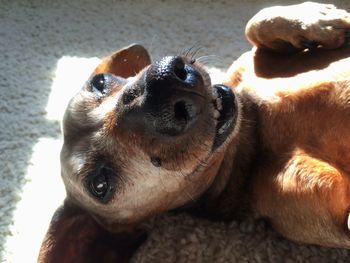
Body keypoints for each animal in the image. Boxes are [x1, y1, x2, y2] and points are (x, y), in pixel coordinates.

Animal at [37, 2, 350, 263]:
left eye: (100, 82)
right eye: (100, 185)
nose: (161, 84)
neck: (253, 127)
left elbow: (255, 22)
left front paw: (320, 19)